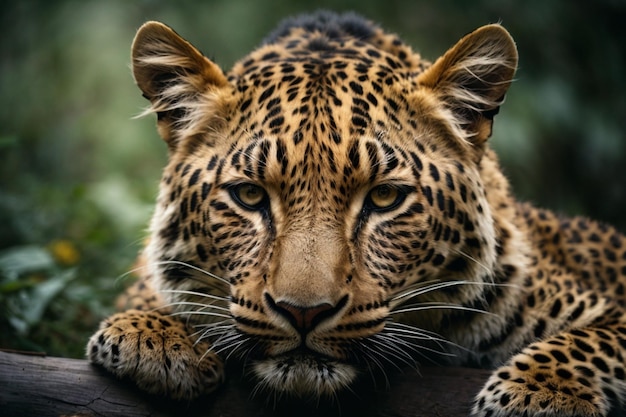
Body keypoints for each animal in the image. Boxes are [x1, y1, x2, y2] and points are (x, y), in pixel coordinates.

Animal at [86, 11, 624, 414]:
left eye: (384, 198)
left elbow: (591, 340)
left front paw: (543, 393)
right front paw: (152, 336)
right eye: (250, 196)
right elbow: (154, 280)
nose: (304, 313)